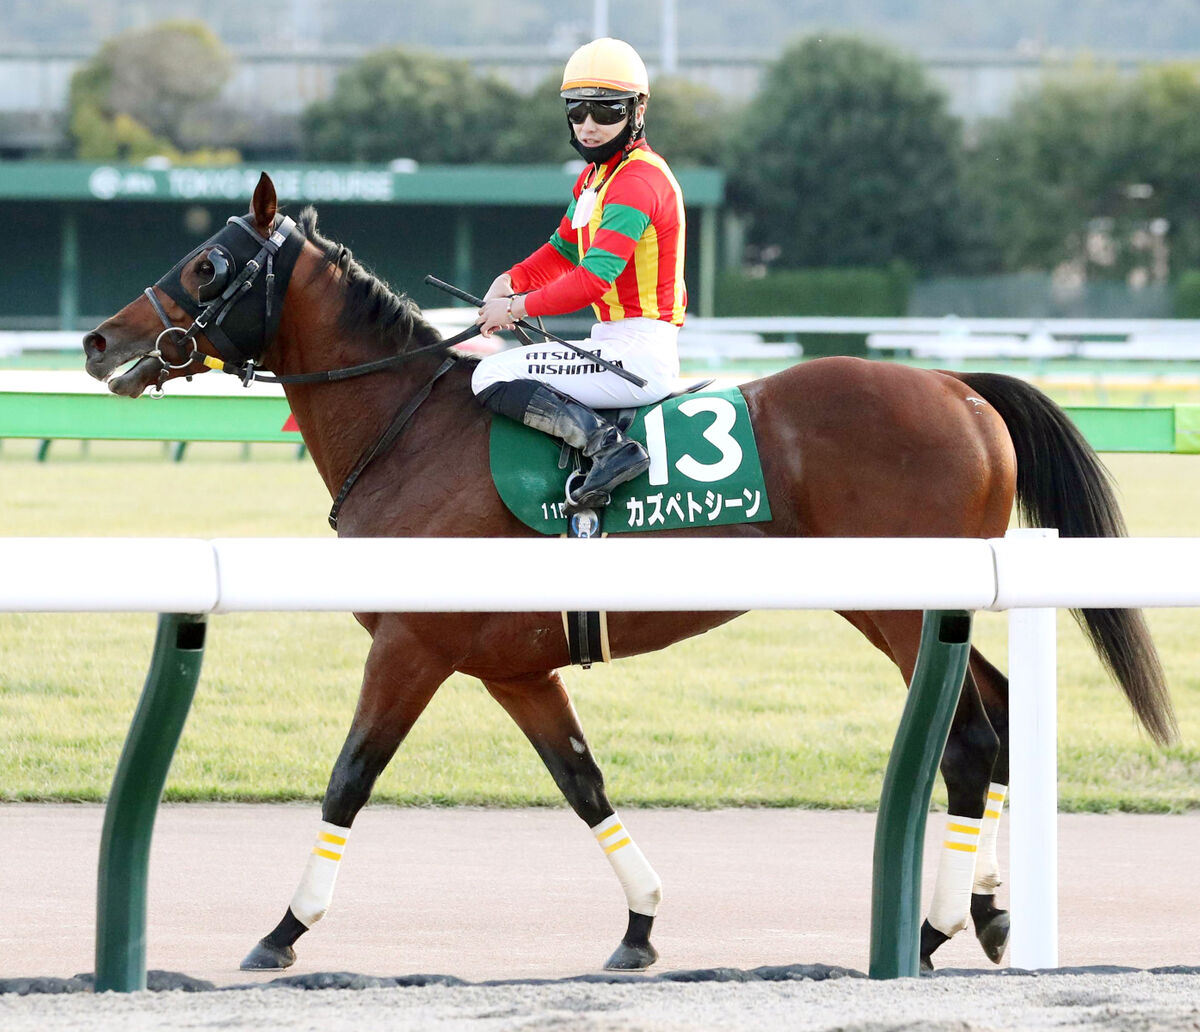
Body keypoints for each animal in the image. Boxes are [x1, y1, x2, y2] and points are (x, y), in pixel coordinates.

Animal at [82, 171, 1171, 974]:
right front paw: (641, 925)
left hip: (906, 609)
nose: (99, 340)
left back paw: (930, 929)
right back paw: (984, 914)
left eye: (207, 262)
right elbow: (581, 781)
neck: (409, 432)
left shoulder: (413, 644)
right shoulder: (514, 667)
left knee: (972, 740)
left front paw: (282, 931)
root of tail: (956, 386)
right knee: (998, 714)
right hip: (903, 609)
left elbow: (351, 776)